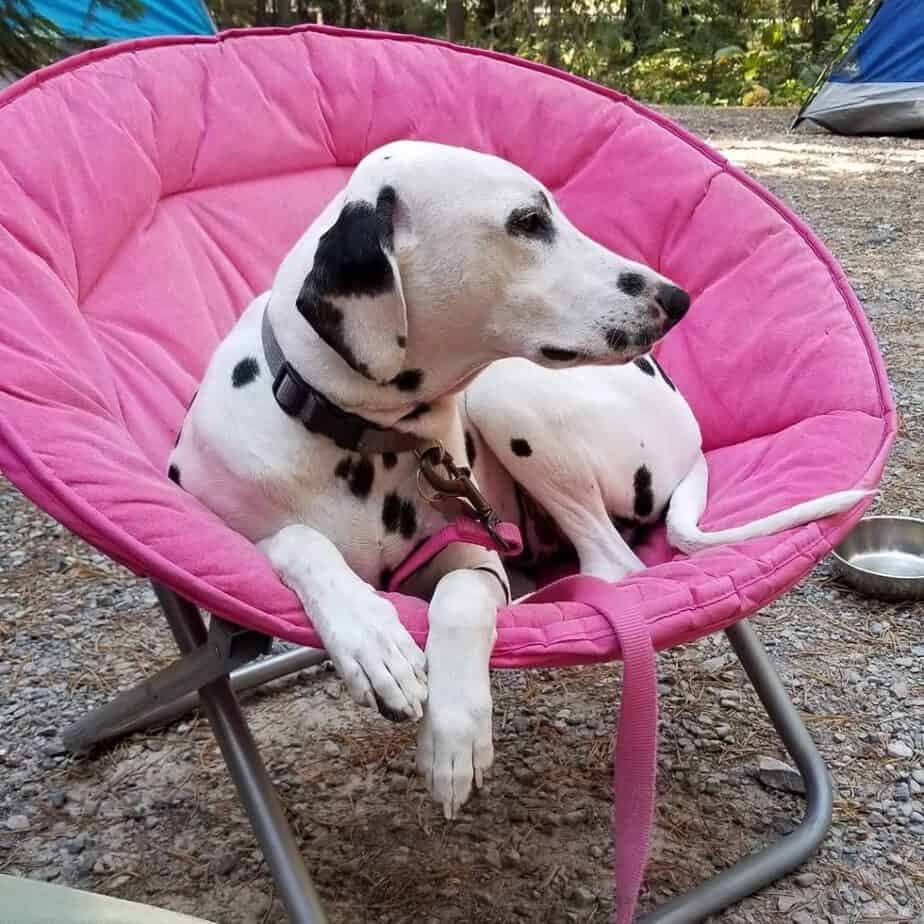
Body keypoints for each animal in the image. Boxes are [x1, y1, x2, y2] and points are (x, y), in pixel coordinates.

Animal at [171, 141, 868, 820]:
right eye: (529, 222)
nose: (676, 299)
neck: (352, 433)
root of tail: (692, 434)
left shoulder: (471, 555)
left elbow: (460, 601)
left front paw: (454, 735)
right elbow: (298, 542)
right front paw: (373, 638)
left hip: (506, 391)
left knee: (610, 566)